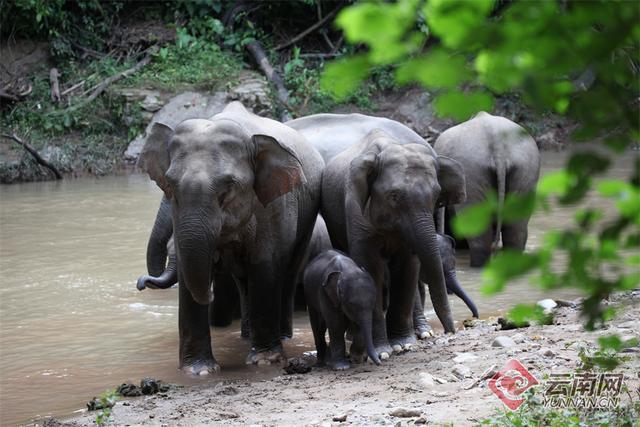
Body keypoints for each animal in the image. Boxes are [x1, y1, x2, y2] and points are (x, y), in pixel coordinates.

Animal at [137, 101, 322, 374]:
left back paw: (281, 337)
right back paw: (246, 336)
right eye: (169, 185)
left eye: (228, 187)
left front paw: (265, 361)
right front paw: (198, 371)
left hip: (306, 219)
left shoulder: (275, 203)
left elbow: (264, 264)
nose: (141, 283)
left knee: (287, 273)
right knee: (243, 283)